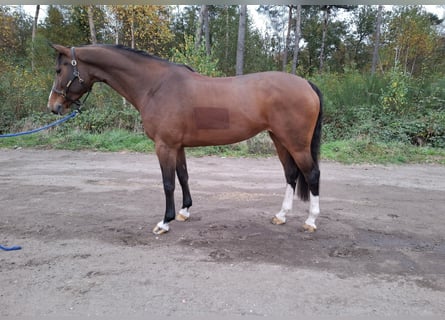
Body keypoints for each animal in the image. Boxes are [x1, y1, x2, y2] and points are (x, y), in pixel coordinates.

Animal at [47, 43, 322, 235]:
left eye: (60, 70)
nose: (54, 106)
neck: (155, 86)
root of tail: (306, 84)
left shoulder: (164, 146)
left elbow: (168, 182)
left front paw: (164, 221)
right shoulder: (177, 146)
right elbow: (183, 176)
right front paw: (184, 211)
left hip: (296, 143)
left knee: (311, 174)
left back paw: (310, 221)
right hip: (280, 140)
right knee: (291, 174)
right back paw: (281, 216)